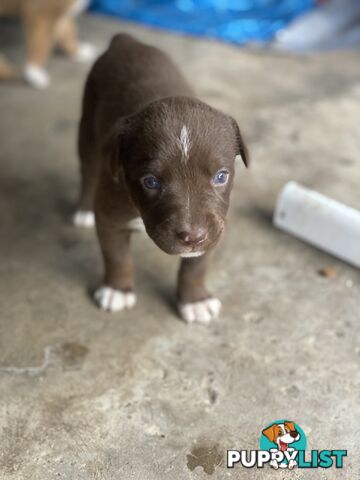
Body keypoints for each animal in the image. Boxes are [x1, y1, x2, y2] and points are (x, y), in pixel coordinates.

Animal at [73, 35, 248, 324]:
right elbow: (117, 256)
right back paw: (83, 211)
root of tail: (126, 41)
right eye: (151, 182)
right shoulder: (110, 217)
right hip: (87, 126)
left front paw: (195, 300)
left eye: (221, 176)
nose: (193, 237)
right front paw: (117, 290)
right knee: (88, 170)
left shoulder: (216, 224)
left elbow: (197, 265)